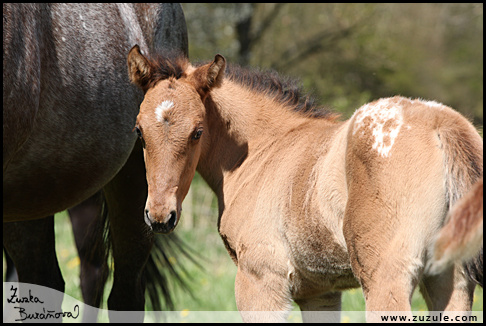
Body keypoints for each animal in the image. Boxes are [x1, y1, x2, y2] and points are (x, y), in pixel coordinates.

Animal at [127, 44, 484, 322]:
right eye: (139, 131)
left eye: (197, 132)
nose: (160, 217)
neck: (263, 151)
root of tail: (441, 123)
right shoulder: (319, 292)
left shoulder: (259, 282)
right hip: (450, 281)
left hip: (386, 278)